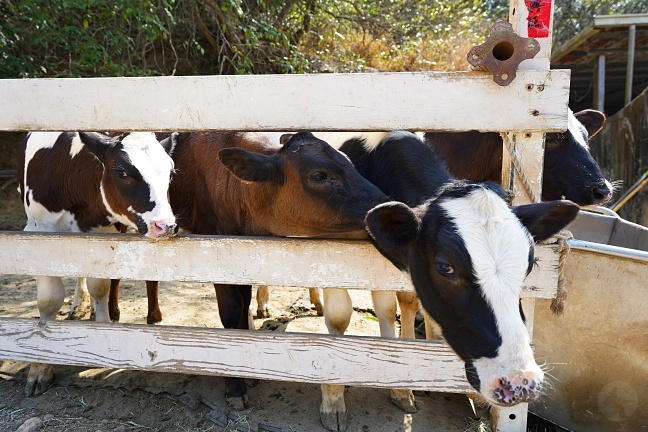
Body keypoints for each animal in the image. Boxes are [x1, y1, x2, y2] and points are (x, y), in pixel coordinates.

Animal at [18, 131, 176, 394]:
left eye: (171, 172)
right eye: (122, 172)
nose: (165, 225)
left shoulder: (104, 232)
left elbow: (100, 286)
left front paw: (102, 330)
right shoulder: (37, 234)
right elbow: (49, 300)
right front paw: (40, 368)